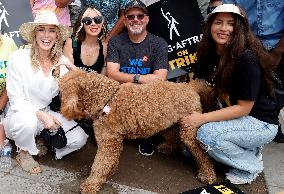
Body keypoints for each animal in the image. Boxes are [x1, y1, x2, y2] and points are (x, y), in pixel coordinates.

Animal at [58, 70, 216, 194]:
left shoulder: (108, 141)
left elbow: (100, 165)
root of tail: (189, 87)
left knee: (201, 154)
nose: (59, 106)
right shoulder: (113, 141)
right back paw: (168, 147)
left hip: (190, 129)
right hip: (168, 124)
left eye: (62, 92)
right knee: (174, 137)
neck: (105, 97)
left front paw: (91, 184)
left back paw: (208, 175)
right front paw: (109, 174)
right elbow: (110, 162)